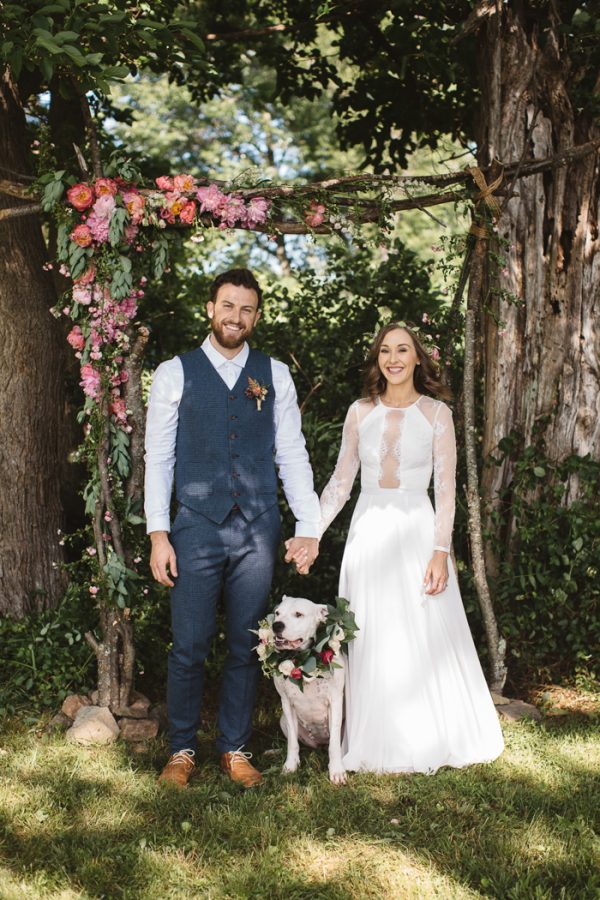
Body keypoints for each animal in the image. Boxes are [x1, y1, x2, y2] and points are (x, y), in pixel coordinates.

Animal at [272, 596, 346, 788]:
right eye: (277, 612)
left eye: (298, 614)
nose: (276, 625)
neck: (302, 661)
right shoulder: (287, 703)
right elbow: (292, 742)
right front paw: (290, 766)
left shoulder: (335, 701)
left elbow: (335, 744)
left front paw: (337, 771)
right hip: (283, 720)